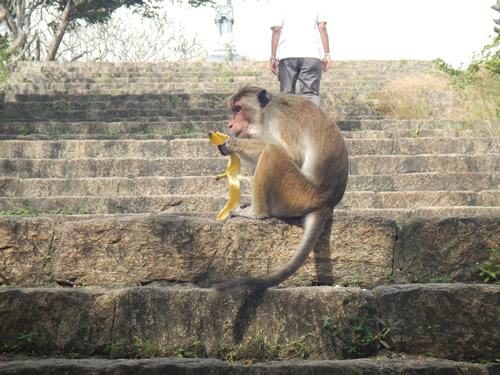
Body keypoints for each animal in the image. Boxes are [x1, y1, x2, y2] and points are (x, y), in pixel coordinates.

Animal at [213, 85, 350, 296]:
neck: (265, 112)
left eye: (238, 109)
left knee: (272, 152)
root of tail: (327, 203)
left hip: (298, 194)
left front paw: (232, 144)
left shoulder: (278, 116)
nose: (230, 124)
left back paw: (256, 213)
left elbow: (292, 154)